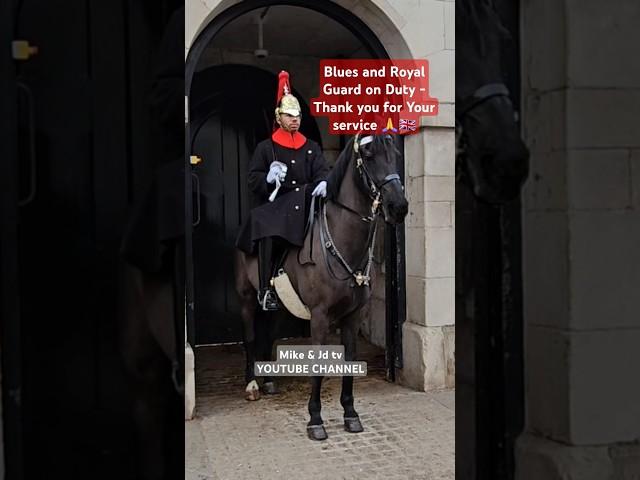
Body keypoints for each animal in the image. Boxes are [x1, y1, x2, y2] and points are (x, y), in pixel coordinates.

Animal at [234, 132, 404, 438]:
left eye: (395, 154)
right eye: (369, 155)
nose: (399, 206)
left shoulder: (352, 316)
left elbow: (349, 361)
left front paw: (350, 413)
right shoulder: (320, 316)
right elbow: (318, 365)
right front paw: (315, 419)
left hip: (278, 306)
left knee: (268, 334)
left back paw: (268, 380)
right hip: (245, 297)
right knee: (250, 336)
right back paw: (252, 384)